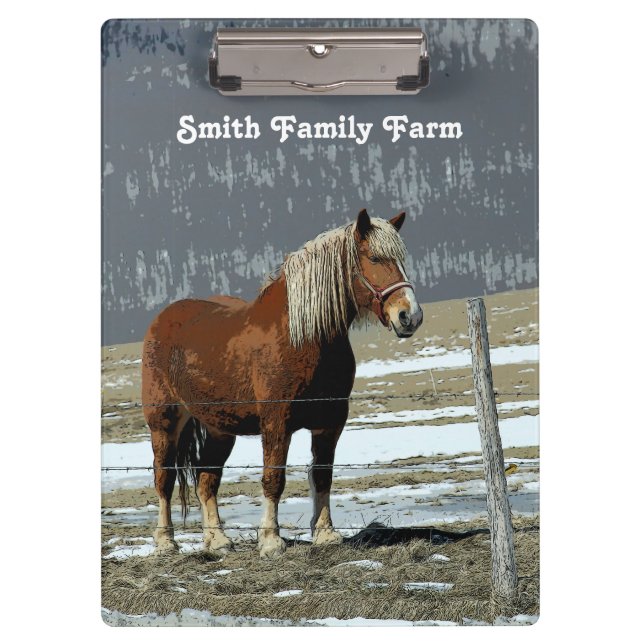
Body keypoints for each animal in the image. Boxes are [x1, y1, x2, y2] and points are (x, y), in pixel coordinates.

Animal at [142, 208, 423, 558]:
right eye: (373, 257)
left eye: (401, 259)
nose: (409, 316)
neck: (303, 338)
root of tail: (163, 319)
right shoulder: (277, 422)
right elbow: (273, 478)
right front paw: (271, 541)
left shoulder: (330, 422)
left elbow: (323, 475)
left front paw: (325, 534)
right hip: (164, 421)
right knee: (164, 478)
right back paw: (165, 542)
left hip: (220, 428)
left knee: (207, 478)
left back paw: (218, 540)